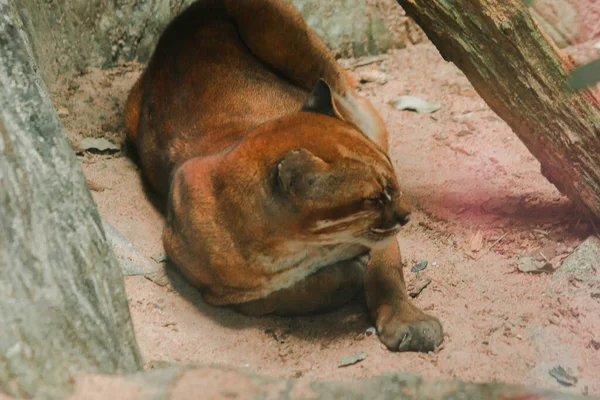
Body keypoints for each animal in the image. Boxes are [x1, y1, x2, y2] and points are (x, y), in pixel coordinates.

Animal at [123, 0, 440, 350]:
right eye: (373, 198)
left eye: (392, 184)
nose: (407, 215)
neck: (297, 245)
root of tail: (190, 13)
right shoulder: (217, 287)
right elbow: (287, 296)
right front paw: (346, 275)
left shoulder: (379, 238)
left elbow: (386, 270)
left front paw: (407, 320)